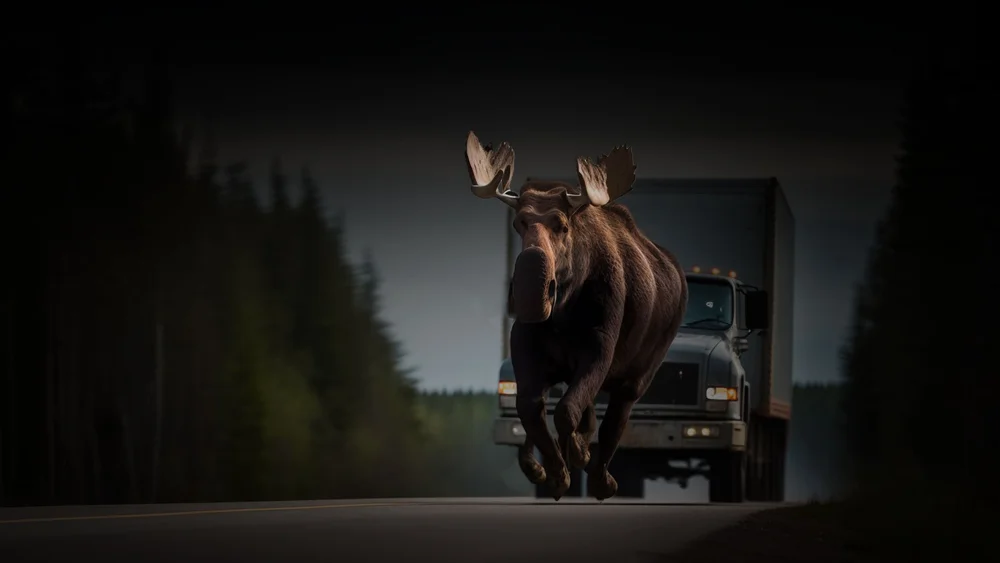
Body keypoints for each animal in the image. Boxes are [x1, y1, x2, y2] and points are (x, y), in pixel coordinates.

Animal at [464, 131, 688, 501]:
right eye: (519, 224)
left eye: (563, 225)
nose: (543, 291)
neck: (565, 314)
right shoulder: (526, 350)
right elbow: (530, 410)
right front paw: (555, 474)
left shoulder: (600, 347)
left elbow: (567, 412)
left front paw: (577, 456)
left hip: (640, 373)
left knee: (617, 416)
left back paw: (601, 480)